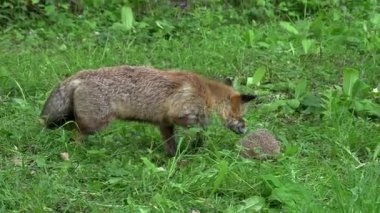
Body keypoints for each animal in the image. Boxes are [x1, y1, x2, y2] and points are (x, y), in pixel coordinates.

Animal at [40, 65, 255, 156]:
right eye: (240, 115)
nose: (245, 128)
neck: (206, 93)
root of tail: (81, 75)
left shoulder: (164, 123)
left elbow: (171, 145)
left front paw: (173, 158)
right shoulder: (180, 115)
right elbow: (201, 127)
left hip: (74, 119)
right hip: (94, 123)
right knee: (75, 137)